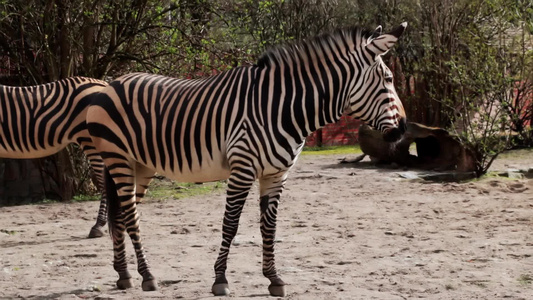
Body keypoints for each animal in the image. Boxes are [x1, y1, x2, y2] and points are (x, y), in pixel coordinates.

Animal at [86, 22, 408, 296]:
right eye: (389, 79)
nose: (404, 128)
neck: (282, 106)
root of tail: (111, 83)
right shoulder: (242, 168)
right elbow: (230, 224)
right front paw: (220, 279)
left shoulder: (276, 174)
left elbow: (270, 227)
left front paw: (274, 278)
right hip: (117, 158)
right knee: (130, 215)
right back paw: (147, 276)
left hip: (140, 165)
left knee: (124, 215)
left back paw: (124, 275)